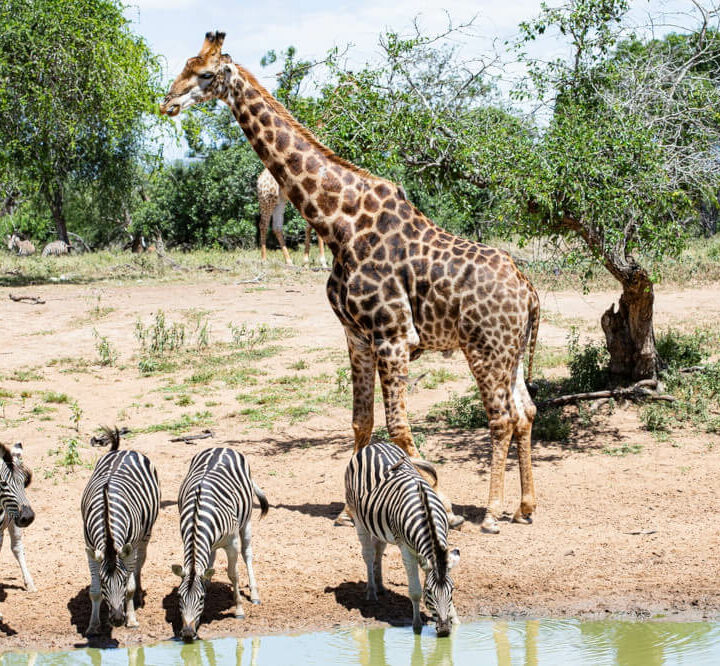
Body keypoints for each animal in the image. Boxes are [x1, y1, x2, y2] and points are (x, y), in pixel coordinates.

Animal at [81, 426, 160, 632]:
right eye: (103, 582)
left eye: (123, 580)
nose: (117, 619)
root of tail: (121, 451)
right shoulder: (91, 549)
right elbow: (94, 592)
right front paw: (93, 625)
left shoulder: (128, 549)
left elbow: (130, 588)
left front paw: (131, 619)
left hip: (144, 535)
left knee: (140, 562)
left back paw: (139, 595)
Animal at [159, 32, 540, 536]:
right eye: (184, 66)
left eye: (203, 74)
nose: (167, 102)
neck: (338, 222)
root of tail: (529, 290)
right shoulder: (356, 335)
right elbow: (362, 421)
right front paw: (347, 510)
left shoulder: (394, 336)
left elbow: (398, 426)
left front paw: (444, 504)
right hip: (510, 351)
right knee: (525, 412)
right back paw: (525, 506)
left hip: (485, 347)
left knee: (499, 418)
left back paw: (493, 512)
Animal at [173, 446, 268, 640]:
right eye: (179, 596)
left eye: (200, 598)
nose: (187, 634)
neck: (197, 516)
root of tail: (222, 447)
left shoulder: (232, 544)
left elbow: (233, 574)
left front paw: (239, 610)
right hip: (212, 544)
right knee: (211, 560)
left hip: (246, 521)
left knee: (247, 554)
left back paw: (254, 594)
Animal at [344, 440, 458, 632]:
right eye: (429, 592)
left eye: (452, 590)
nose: (443, 630)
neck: (426, 514)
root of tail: (374, 444)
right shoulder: (406, 550)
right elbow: (415, 591)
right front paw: (417, 625)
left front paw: (455, 620)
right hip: (357, 515)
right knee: (368, 554)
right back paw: (371, 591)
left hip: (379, 524)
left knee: (379, 549)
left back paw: (380, 586)